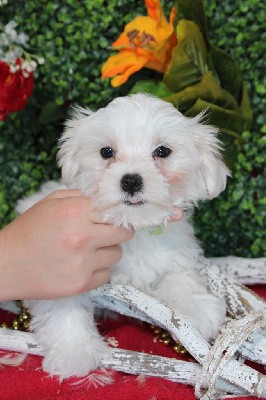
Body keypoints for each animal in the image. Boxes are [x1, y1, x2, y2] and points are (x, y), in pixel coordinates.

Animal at [16, 93, 230, 378]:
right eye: (106, 152)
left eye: (162, 151)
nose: (130, 180)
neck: (131, 227)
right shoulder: (57, 272)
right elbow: (65, 304)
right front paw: (74, 350)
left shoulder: (174, 253)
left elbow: (178, 275)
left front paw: (195, 307)